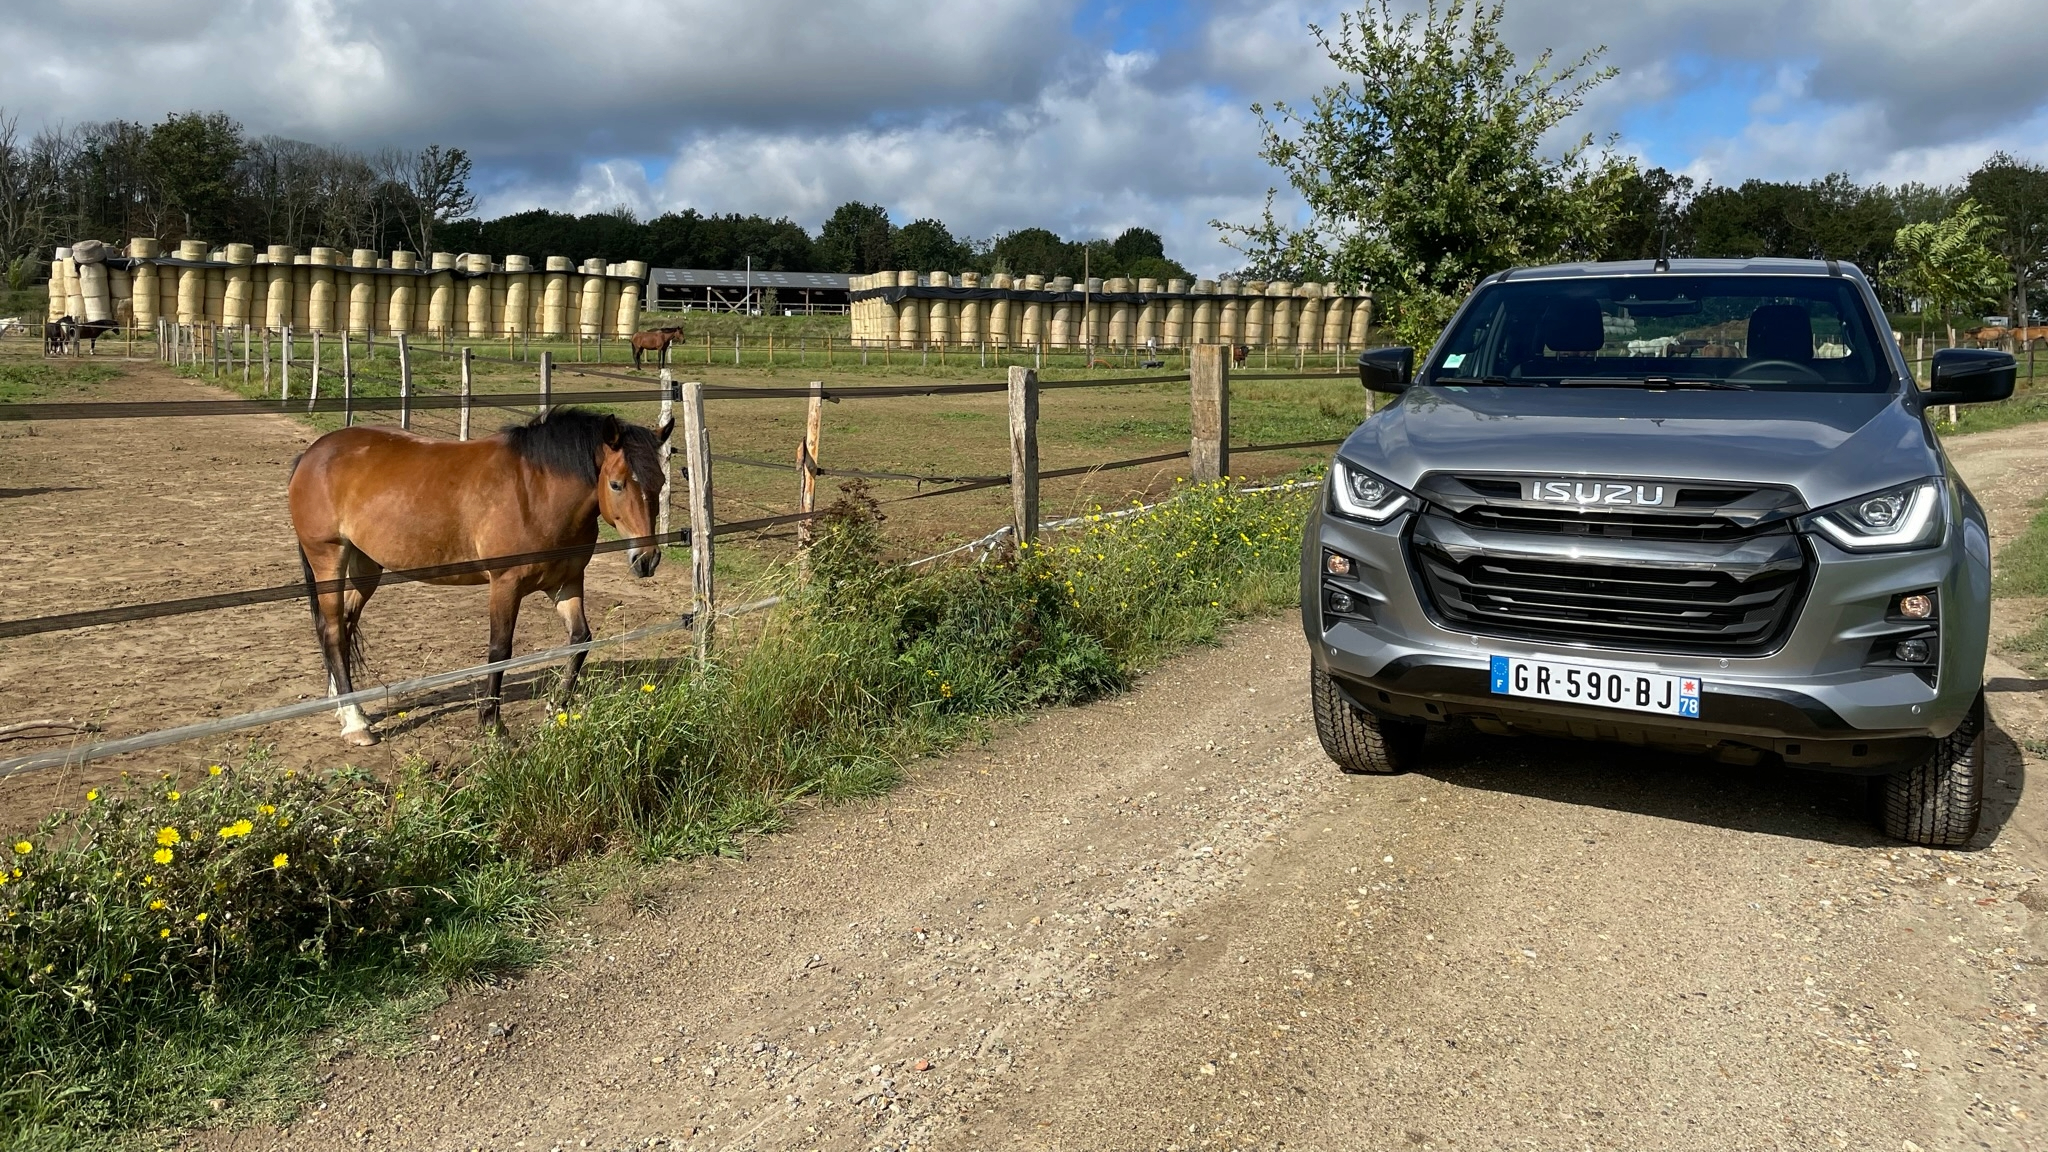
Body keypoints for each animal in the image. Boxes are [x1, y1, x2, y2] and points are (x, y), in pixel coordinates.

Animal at [290, 403, 671, 746]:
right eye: (617, 484)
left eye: (661, 482)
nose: (647, 559)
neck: (537, 491)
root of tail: (312, 455)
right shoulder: (505, 585)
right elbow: (499, 650)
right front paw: (492, 723)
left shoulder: (566, 583)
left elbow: (581, 640)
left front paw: (556, 709)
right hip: (329, 559)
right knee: (333, 630)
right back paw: (355, 723)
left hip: (365, 565)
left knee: (342, 624)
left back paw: (344, 706)